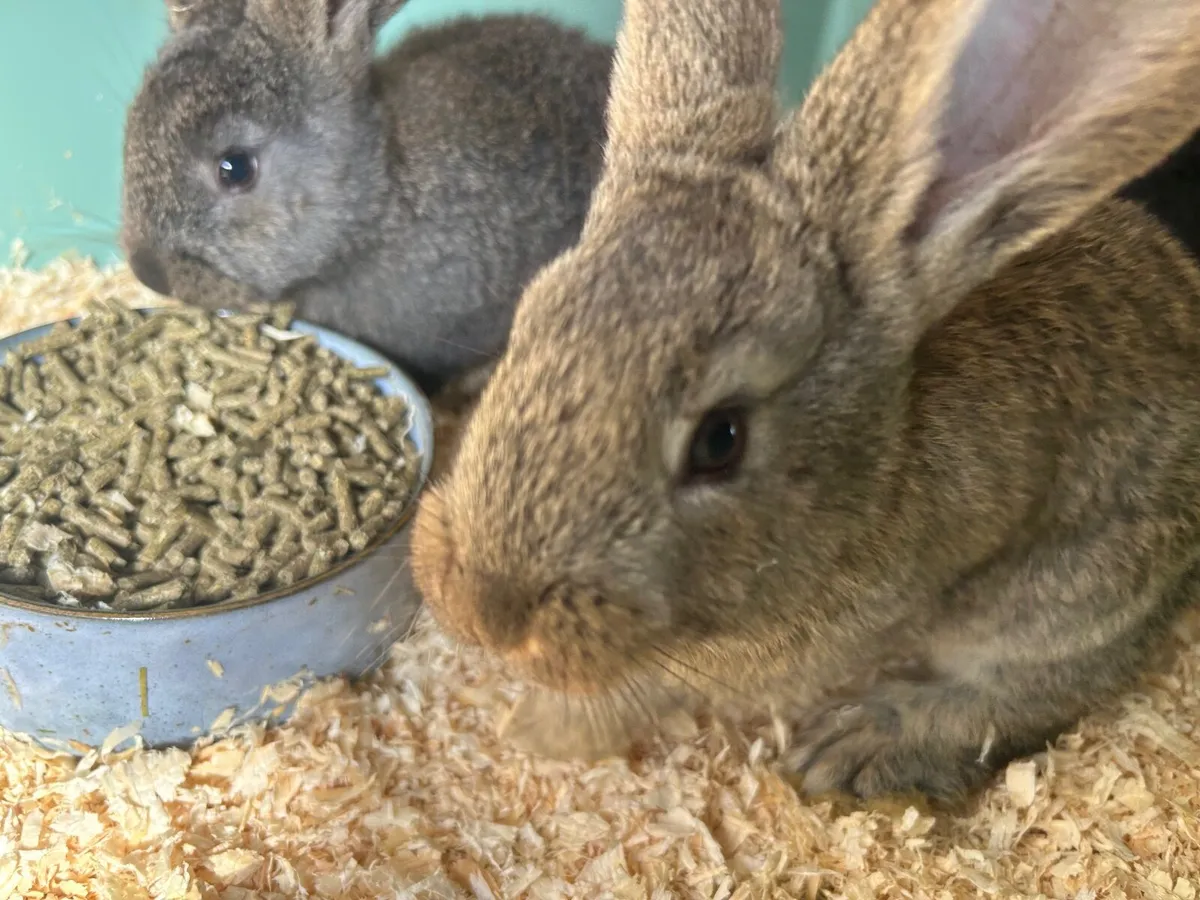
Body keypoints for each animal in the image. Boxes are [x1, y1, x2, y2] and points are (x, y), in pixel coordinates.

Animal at [408, 0, 1200, 804]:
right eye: (527, 320)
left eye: (720, 440)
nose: (484, 612)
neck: (876, 463)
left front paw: (540, 730)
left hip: (1065, 595)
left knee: (1040, 689)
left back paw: (861, 744)